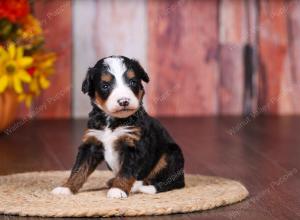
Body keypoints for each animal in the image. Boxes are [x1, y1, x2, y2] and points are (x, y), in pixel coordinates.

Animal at [52, 55, 184, 199]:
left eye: (132, 82)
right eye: (105, 85)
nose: (123, 101)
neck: (112, 121)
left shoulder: (135, 145)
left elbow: (126, 171)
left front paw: (118, 190)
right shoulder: (91, 143)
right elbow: (78, 168)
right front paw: (66, 188)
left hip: (171, 154)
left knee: (167, 181)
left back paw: (138, 186)